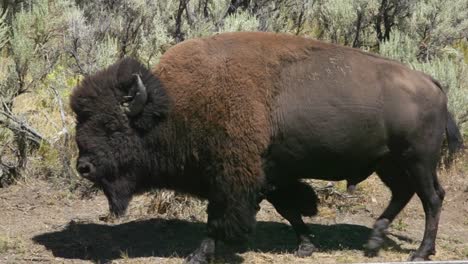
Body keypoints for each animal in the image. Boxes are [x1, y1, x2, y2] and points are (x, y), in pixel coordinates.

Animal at [71, 32, 462, 262]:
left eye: (111, 126)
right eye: (80, 123)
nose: (84, 166)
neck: (175, 106)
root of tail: (433, 82)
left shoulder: (231, 176)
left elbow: (218, 217)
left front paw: (199, 254)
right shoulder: (269, 173)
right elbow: (288, 209)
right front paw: (305, 245)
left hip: (417, 160)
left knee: (432, 198)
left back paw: (420, 252)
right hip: (389, 164)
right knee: (405, 194)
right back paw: (373, 242)